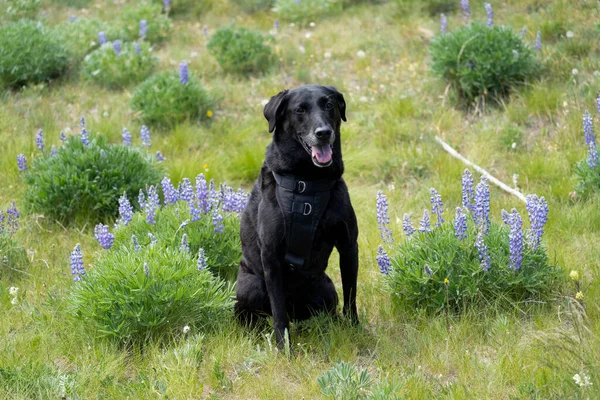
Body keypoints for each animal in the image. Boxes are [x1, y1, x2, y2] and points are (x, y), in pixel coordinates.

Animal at [234, 85, 358, 350]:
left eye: (329, 105)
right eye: (300, 110)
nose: (324, 133)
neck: (308, 180)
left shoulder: (348, 245)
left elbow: (351, 295)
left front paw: (356, 330)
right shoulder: (271, 256)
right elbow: (278, 311)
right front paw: (283, 348)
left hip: (326, 288)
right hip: (250, 286)